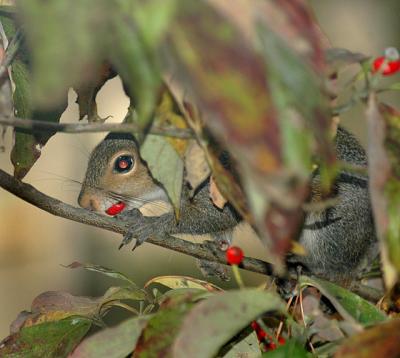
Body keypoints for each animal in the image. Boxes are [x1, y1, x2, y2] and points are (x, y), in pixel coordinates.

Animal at [78, 126, 378, 282]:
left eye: (124, 163)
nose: (84, 202)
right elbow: (222, 230)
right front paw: (216, 253)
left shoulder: (220, 185)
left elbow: (211, 217)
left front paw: (149, 223)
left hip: (333, 227)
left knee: (337, 266)